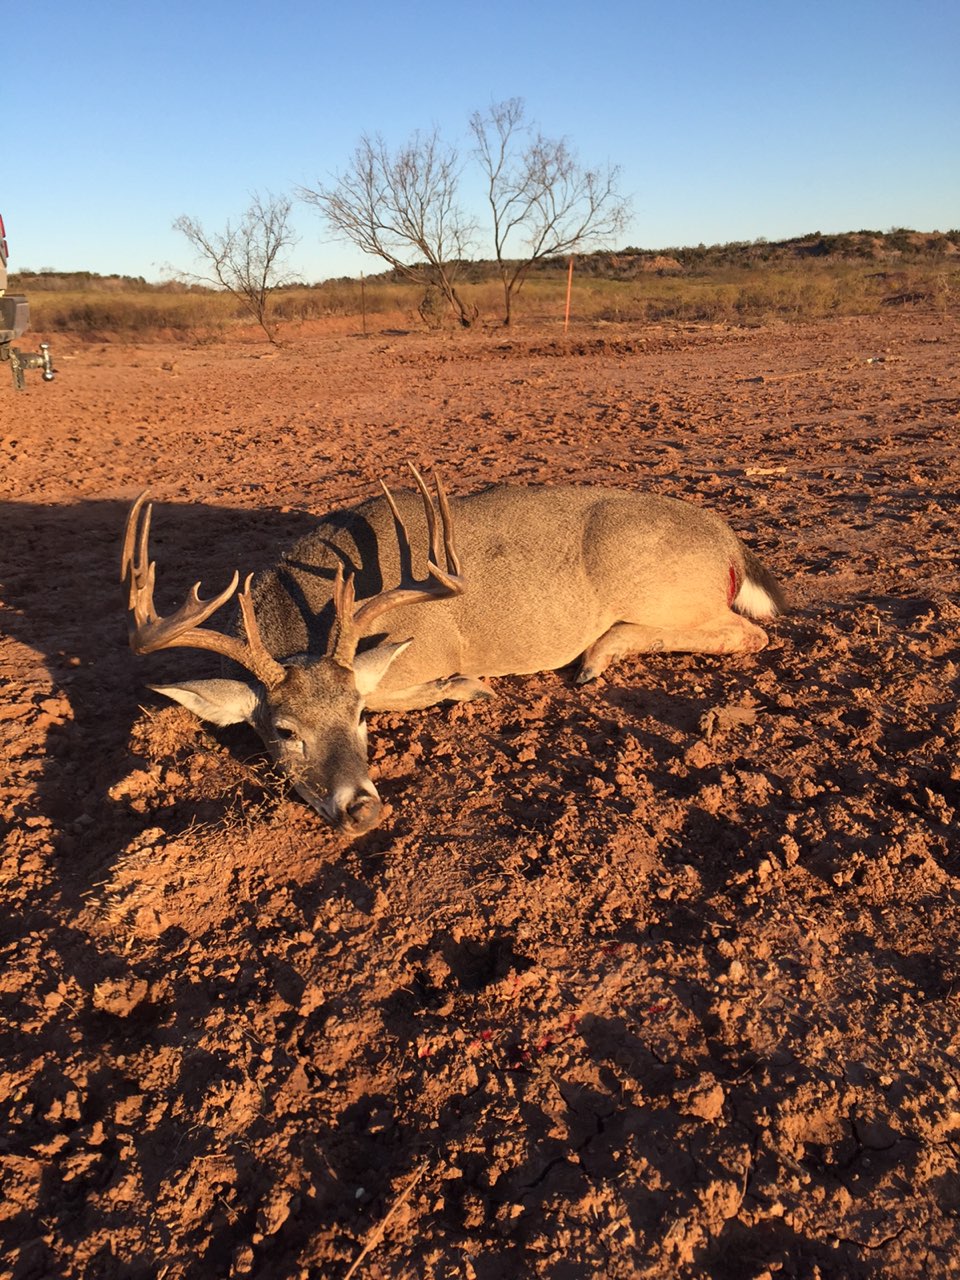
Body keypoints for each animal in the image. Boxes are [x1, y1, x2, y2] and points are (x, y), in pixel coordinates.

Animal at [120, 471, 783, 839]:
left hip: (656, 586)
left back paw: (596, 655)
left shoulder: (427, 649)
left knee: (749, 634)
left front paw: (470, 686)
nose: (362, 810)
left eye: (357, 716)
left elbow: (406, 685)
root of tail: (730, 543)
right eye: (283, 731)